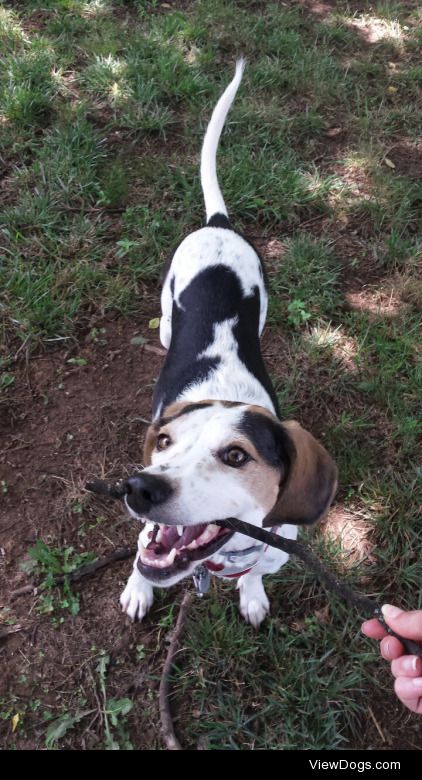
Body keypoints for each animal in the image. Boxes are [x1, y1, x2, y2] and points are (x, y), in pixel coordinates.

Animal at [119, 64, 336, 632]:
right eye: (164, 442)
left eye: (236, 455)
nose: (140, 487)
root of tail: (219, 225)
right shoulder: (146, 530)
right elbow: (141, 552)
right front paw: (136, 589)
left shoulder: (275, 551)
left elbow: (257, 573)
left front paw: (252, 594)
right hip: (167, 307)